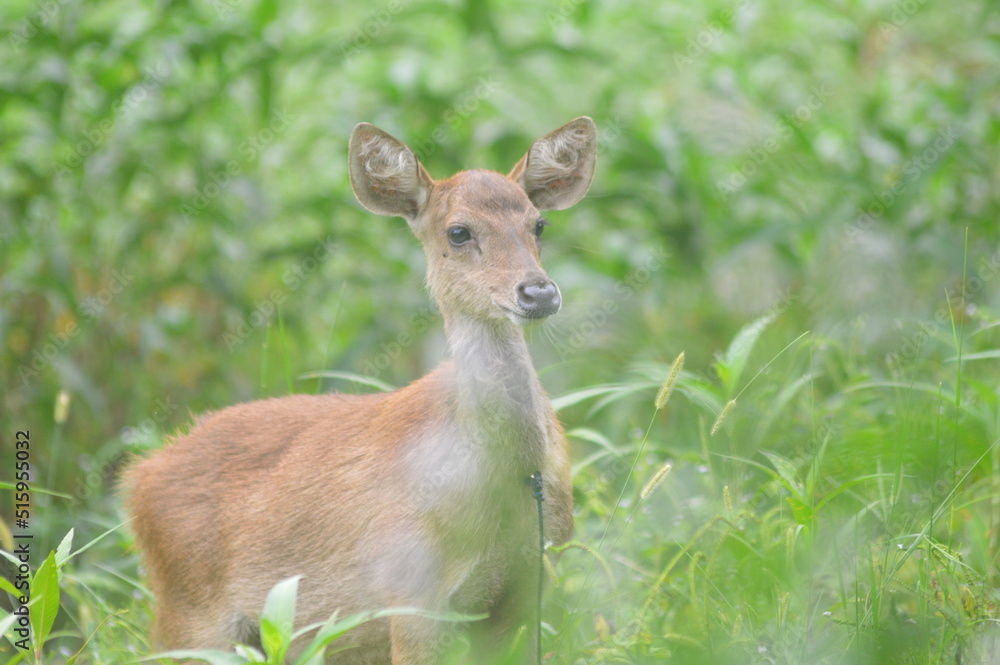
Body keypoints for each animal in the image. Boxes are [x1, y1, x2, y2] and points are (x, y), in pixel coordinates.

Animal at [123, 116, 592, 660]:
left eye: (539, 224)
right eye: (458, 232)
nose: (538, 292)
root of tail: (139, 478)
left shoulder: (530, 584)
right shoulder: (409, 591)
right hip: (187, 618)